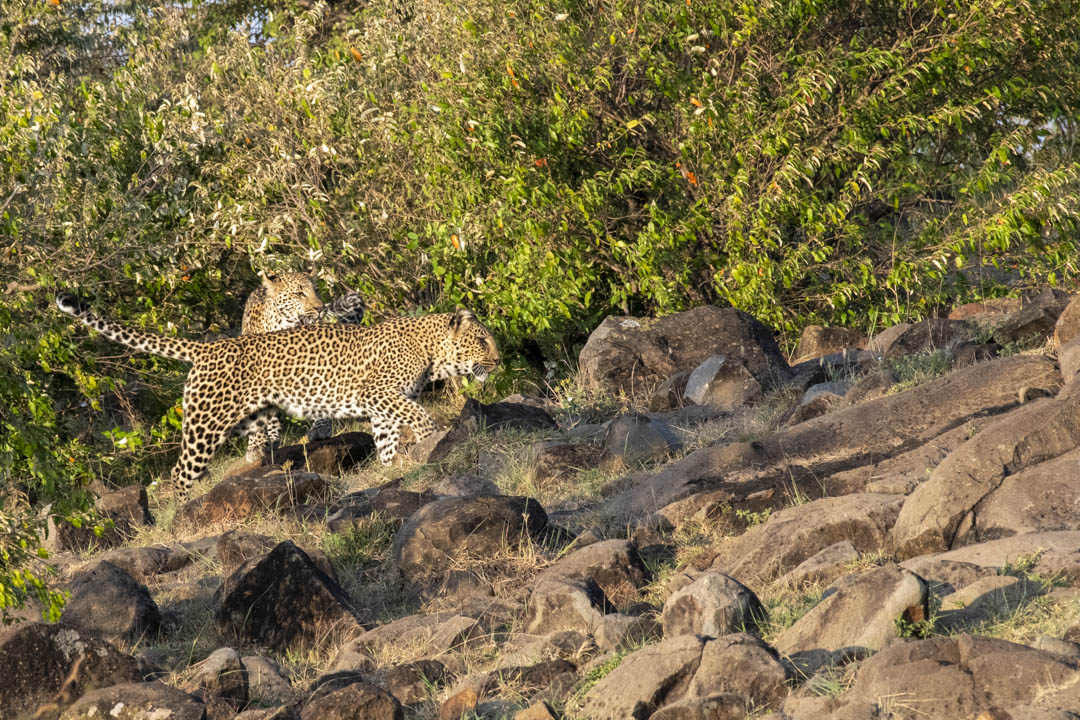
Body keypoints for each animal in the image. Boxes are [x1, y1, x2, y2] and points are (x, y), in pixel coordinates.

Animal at [56, 293, 499, 496]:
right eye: (482, 340)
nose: (499, 360)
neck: (432, 351)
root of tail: (207, 348)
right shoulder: (378, 391)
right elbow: (419, 417)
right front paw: (431, 439)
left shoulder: (382, 405)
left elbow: (388, 438)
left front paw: (393, 468)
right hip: (205, 425)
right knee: (180, 472)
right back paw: (181, 512)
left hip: (251, 419)